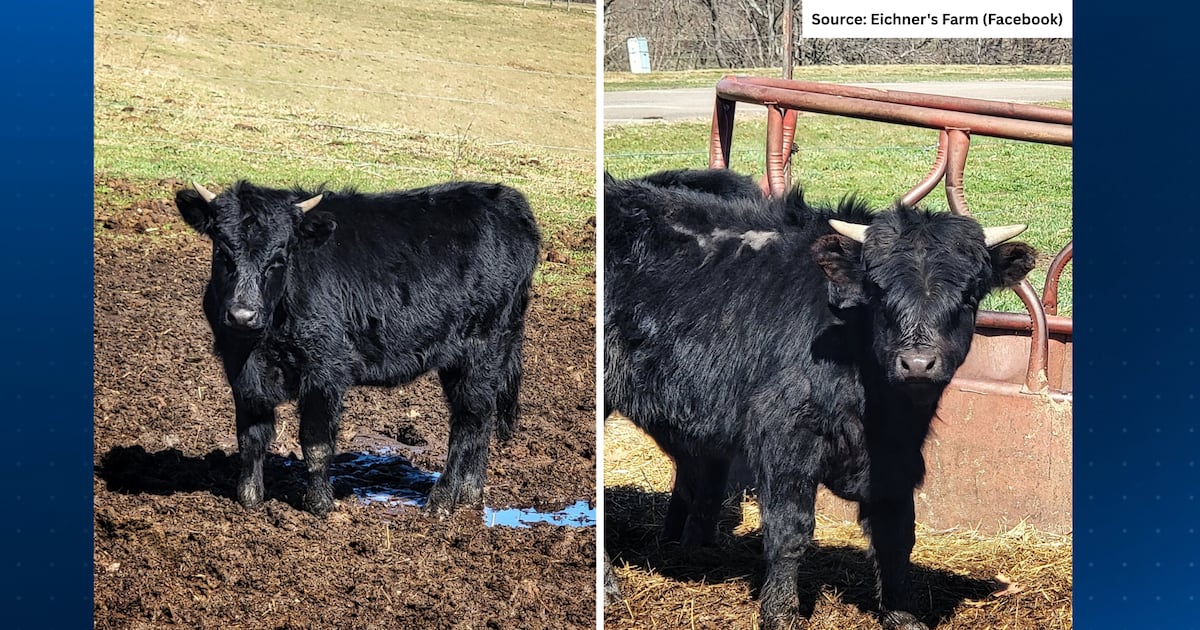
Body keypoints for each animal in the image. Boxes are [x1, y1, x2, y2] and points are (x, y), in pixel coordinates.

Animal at [175, 180, 541, 517]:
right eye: (223, 253)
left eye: (279, 259)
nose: (242, 315)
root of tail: (506, 200)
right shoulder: (240, 371)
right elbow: (250, 438)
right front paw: (249, 500)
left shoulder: (326, 370)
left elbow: (316, 443)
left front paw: (319, 505)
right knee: (481, 419)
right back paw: (470, 494)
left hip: (482, 348)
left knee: (468, 422)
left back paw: (441, 500)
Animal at [603, 171, 1036, 630]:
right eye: (879, 292)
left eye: (970, 295)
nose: (917, 363)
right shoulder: (785, 435)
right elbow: (790, 532)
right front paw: (781, 612)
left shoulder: (898, 458)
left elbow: (897, 535)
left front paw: (902, 613)